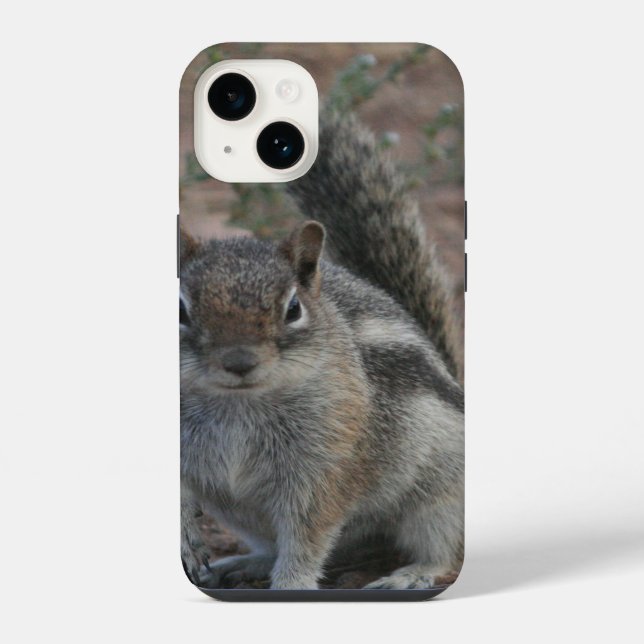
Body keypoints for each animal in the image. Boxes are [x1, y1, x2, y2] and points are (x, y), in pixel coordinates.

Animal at [179, 108, 464, 590]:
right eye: (180, 309)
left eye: (293, 308)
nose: (239, 361)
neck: (237, 407)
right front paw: (186, 538)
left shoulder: (326, 465)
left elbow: (307, 536)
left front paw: (292, 585)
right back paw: (243, 563)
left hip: (441, 494)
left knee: (445, 546)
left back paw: (411, 575)